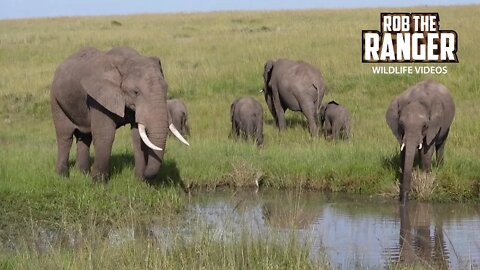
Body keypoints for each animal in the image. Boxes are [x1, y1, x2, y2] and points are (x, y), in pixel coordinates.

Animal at [50, 46, 189, 181]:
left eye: (166, 88)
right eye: (136, 92)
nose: (146, 175)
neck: (127, 61)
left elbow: (137, 136)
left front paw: (140, 182)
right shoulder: (99, 97)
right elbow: (105, 135)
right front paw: (99, 182)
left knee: (85, 137)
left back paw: (83, 174)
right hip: (56, 100)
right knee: (65, 136)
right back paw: (62, 176)